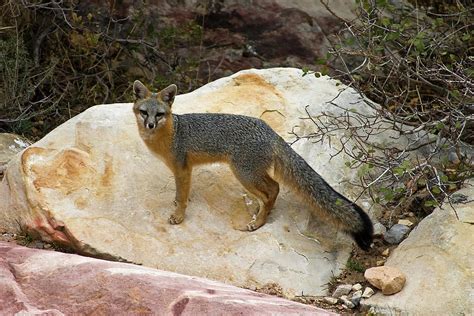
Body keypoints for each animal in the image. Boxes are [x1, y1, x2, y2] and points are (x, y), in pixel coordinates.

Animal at [131, 80, 372, 251]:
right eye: (144, 112)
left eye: (159, 114)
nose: (150, 124)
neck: (171, 134)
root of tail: (270, 131)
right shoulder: (181, 170)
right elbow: (178, 193)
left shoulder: (182, 168)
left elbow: (182, 196)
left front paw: (178, 216)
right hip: (250, 173)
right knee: (269, 191)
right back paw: (259, 211)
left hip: (243, 173)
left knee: (273, 188)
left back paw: (258, 222)